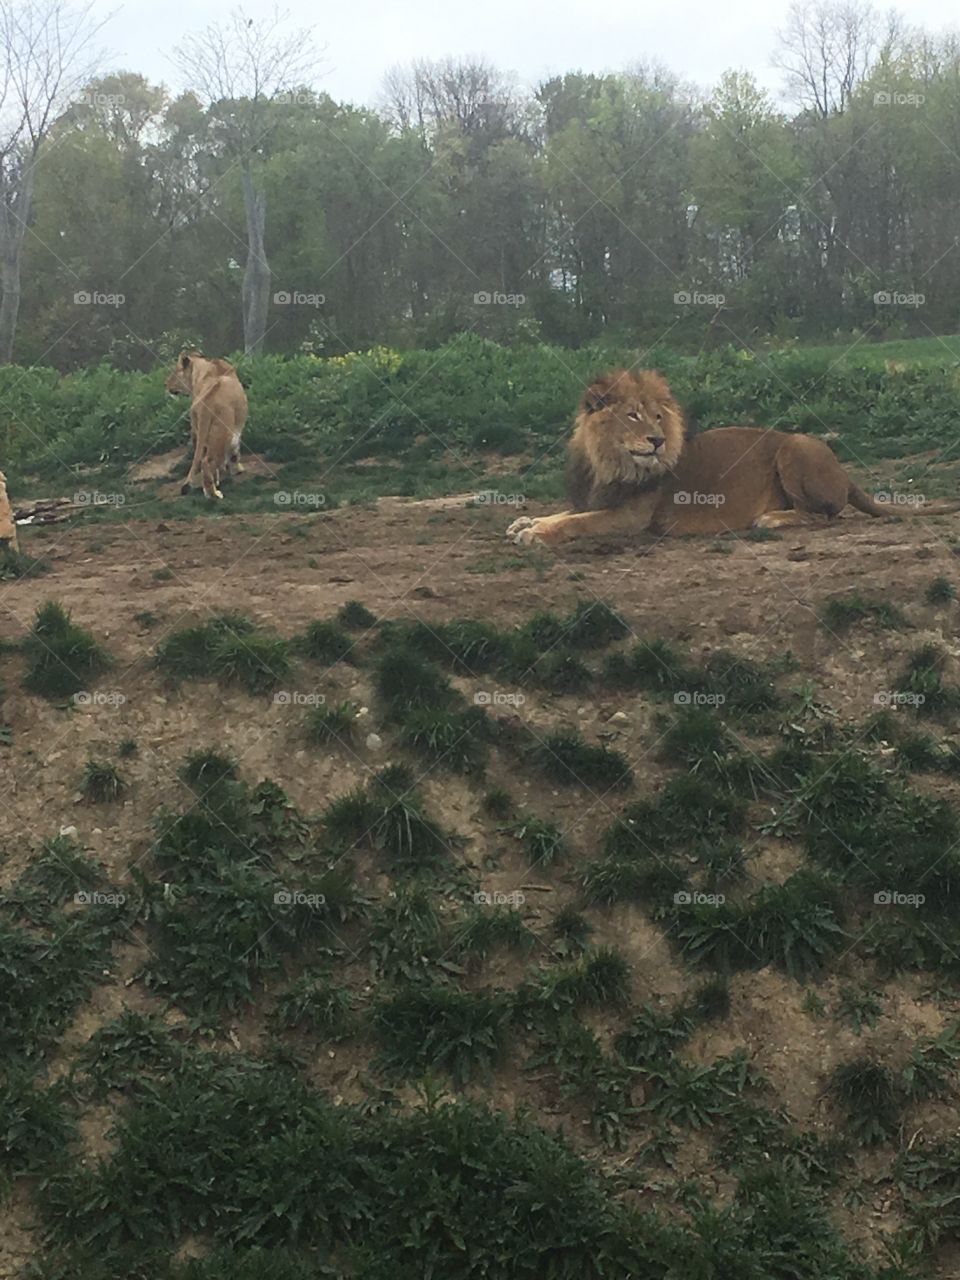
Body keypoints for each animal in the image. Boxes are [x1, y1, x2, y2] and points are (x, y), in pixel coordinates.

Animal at [165, 351, 248, 500]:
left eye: (174, 372)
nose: (165, 384)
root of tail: (206, 404)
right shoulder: (235, 431)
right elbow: (234, 450)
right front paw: (237, 470)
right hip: (222, 433)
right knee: (207, 461)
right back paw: (213, 494)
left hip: (202, 430)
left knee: (202, 458)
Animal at [506, 368, 956, 546]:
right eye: (632, 415)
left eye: (657, 417)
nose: (657, 441)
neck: (609, 463)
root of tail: (845, 474)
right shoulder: (598, 499)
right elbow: (566, 513)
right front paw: (525, 522)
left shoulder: (631, 518)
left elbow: (577, 523)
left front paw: (536, 533)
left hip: (794, 446)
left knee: (825, 515)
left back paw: (772, 518)